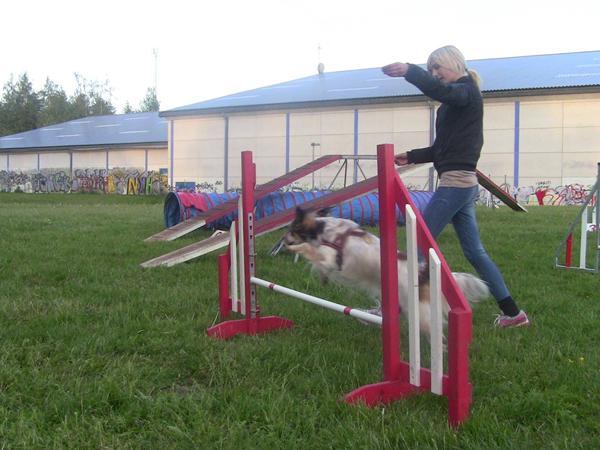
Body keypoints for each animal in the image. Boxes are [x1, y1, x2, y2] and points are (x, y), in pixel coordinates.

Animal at [284, 207, 490, 342]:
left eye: (291, 231)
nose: (284, 241)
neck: (324, 230)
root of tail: (423, 274)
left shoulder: (330, 257)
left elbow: (308, 249)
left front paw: (295, 249)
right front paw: (322, 277)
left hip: (417, 309)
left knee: (432, 326)